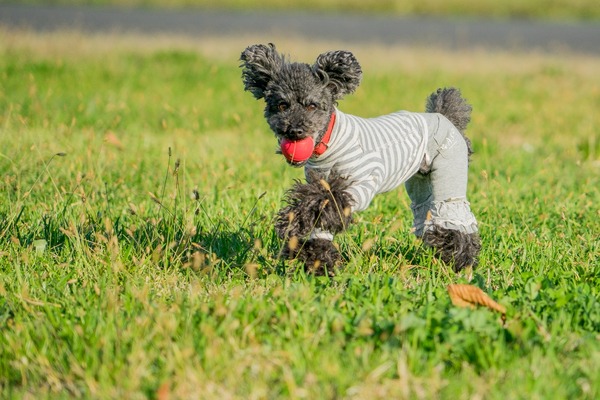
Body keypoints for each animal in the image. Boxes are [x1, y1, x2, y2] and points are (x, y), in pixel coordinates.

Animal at [241, 43, 480, 276]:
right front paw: (319, 264)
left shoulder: (357, 186)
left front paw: (293, 221)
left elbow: (322, 202)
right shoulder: (319, 182)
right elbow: (319, 225)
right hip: (421, 184)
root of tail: (444, 116)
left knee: (454, 215)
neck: (330, 141)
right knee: (427, 214)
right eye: (282, 105)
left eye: (312, 105)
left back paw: (463, 261)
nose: (294, 131)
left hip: (449, 168)